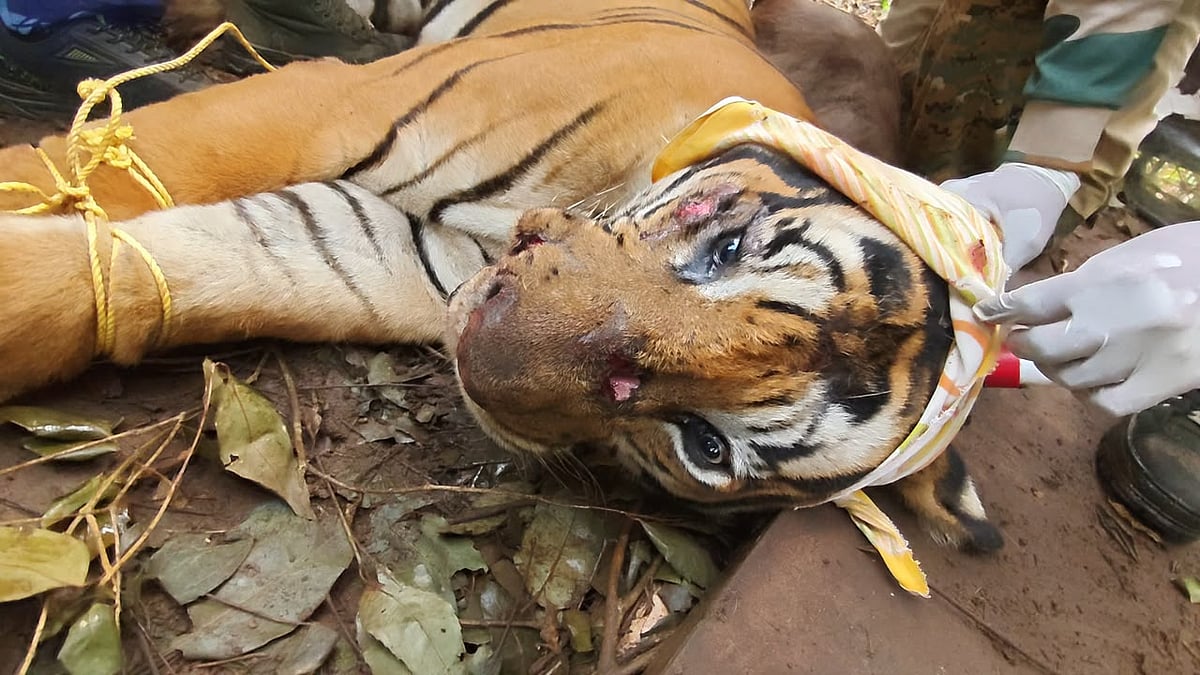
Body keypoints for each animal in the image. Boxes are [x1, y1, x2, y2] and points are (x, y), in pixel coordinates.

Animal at [0, 0, 1003, 553]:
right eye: (724, 252)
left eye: (705, 444)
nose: (483, 352)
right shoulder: (327, 101)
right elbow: (110, 161)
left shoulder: (384, 250)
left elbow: (167, 265)